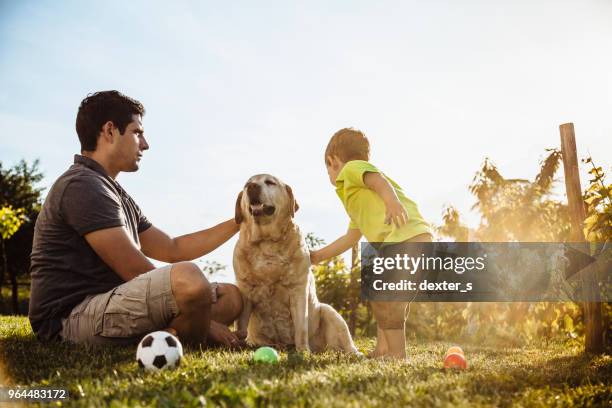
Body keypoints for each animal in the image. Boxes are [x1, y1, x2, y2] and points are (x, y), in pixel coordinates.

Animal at [233, 175, 358, 354]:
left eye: (270, 182)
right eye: (246, 185)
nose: (252, 187)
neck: (266, 242)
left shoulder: (298, 290)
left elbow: (301, 327)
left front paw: (303, 351)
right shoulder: (244, 290)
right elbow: (241, 324)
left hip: (329, 312)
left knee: (347, 344)